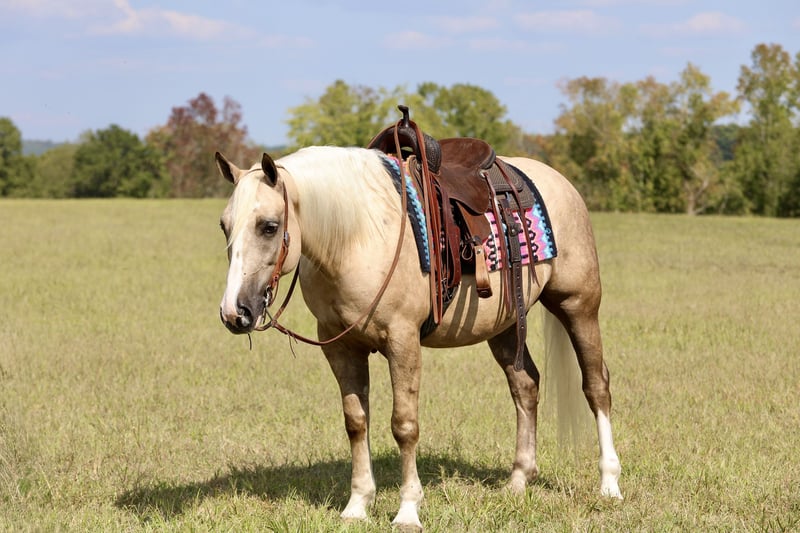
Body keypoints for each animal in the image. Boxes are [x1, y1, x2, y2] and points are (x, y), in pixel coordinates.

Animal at [215, 145, 623, 529]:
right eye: (224, 226)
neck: (358, 236)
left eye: (269, 226)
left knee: (596, 385)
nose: (235, 312)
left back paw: (609, 484)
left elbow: (404, 426)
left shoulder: (403, 341)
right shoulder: (341, 346)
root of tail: (558, 182)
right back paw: (519, 480)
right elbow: (356, 422)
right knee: (525, 387)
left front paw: (408, 510)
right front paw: (357, 505)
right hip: (505, 325)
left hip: (578, 305)